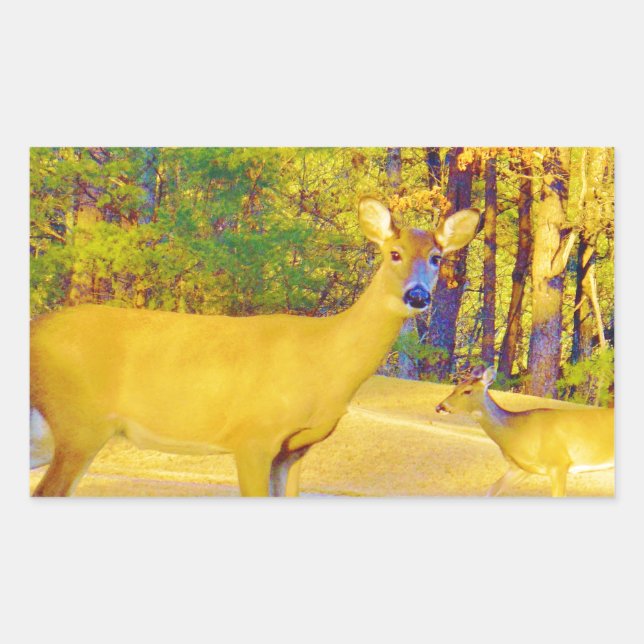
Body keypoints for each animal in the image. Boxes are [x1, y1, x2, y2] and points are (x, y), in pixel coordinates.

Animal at [30, 197, 481, 497]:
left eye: (437, 257)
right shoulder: (252, 436)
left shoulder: (294, 449)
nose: (418, 296)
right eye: (394, 253)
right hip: (80, 422)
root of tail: (37, 326)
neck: (325, 361)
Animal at [435, 365, 614, 497]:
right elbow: (492, 490)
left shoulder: (559, 463)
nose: (439, 407)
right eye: (455, 386)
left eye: (467, 391)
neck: (517, 433)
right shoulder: (521, 468)